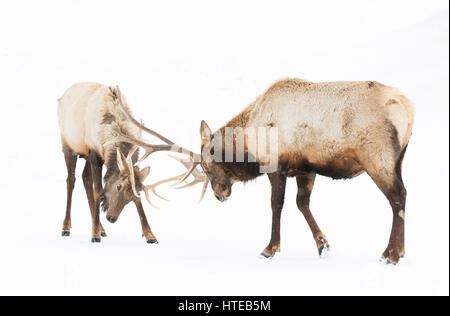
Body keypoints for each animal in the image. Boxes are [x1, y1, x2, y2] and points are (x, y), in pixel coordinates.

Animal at [56, 82, 197, 243]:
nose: (111, 218)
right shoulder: (94, 152)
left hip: (84, 155)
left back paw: (101, 228)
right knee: (71, 180)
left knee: (85, 177)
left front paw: (150, 235)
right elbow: (98, 190)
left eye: (135, 194)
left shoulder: (96, 155)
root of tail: (62, 96)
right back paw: (67, 227)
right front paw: (94, 235)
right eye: (118, 186)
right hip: (68, 144)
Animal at [183, 78, 414, 264]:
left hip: (377, 158)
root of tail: (408, 109)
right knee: (401, 195)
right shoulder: (305, 169)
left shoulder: (276, 166)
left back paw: (392, 254)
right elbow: (302, 203)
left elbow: (276, 204)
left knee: (397, 196)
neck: (249, 141)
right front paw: (322, 244)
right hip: (398, 160)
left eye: (205, 165)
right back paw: (395, 252)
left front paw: (270, 248)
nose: (218, 194)